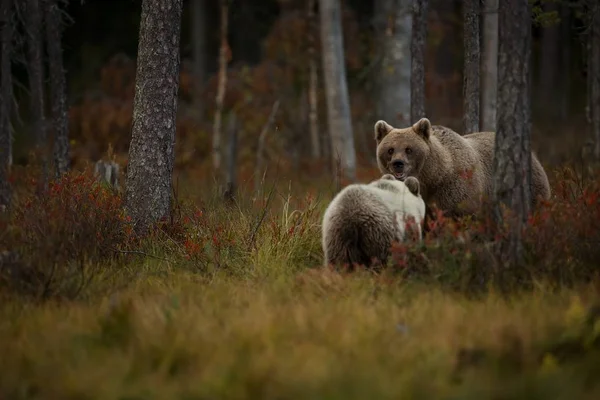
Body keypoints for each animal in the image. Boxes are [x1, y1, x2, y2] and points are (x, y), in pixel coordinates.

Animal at [372, 118, 552, 219]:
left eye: (409, 149)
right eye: (390, 150)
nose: (398, 163)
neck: (433, 177)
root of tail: (533, 154)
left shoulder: (456, 190)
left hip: (532, 189)